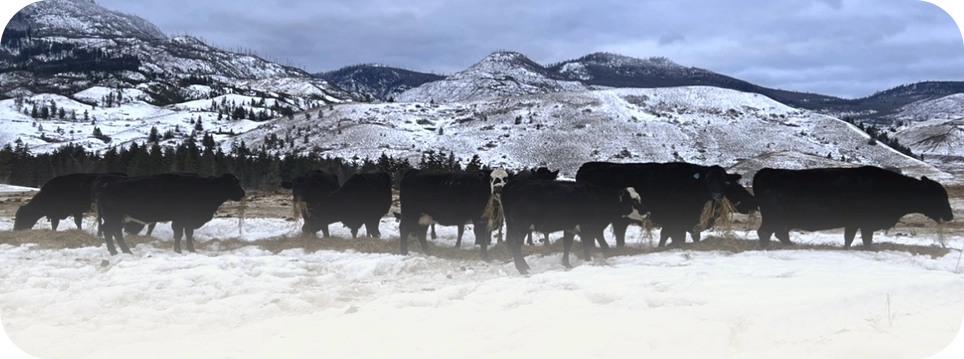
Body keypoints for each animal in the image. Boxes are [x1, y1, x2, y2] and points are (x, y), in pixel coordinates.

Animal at [97, 174, 245, 256]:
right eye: (233, 183)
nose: (243, 193)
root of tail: (106, 185)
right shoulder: (181, 219)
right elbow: (179, 234)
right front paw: (179, 250)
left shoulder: (187, 222)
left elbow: (187, 235)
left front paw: (191, 250)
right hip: (114, 217)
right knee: (112, 232)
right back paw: (121, 251)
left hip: (116, 218)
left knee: (110, 231)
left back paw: (118, 251)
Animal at [576, 162, 736, 248]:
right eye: (708, 180)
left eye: (724, 181)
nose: (717, 194)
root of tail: (587, 166)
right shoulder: (675, 222)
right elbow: (672, 237)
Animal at [752, 167, 956, 249]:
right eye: (939, 196)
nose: (950, 215)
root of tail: (767, 171)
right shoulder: (865, 225)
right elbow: (865, 239)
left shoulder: (853, 224)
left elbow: (849, 239)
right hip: (774, 219)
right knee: (765, 232)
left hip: (781, 221)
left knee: (779, 234)